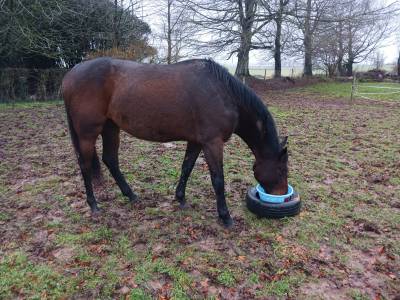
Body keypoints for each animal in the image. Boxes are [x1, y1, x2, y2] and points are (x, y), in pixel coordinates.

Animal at [61, 58, 288, 227]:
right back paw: (93, 205)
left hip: (111, 127)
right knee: (85, 165)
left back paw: (131, 196)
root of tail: (70, 76)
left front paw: (180, 198)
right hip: (88, 134)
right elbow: (218, 180)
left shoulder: (196, 141)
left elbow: (186, 167)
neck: (223, 93)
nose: (283, 197)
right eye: (281, 170)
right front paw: (225, 217)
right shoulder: (212, 143)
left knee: (110, 160)